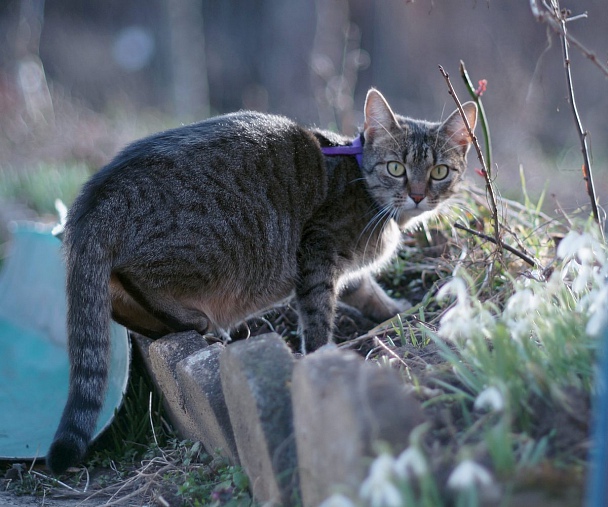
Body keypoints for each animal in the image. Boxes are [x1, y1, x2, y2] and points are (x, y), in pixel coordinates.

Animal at [46, 89, 476, 474]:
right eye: (396, 168)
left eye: (439, 171)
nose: (417, 195)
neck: (361, 183)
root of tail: (91, 202)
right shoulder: (317, 252)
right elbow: (318, 313)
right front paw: (321, 353)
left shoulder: (345, 270)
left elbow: (368, 293)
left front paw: (400, 310)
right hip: (207, 250)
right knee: (134, 278)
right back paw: (196, 320)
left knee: (116, 301)